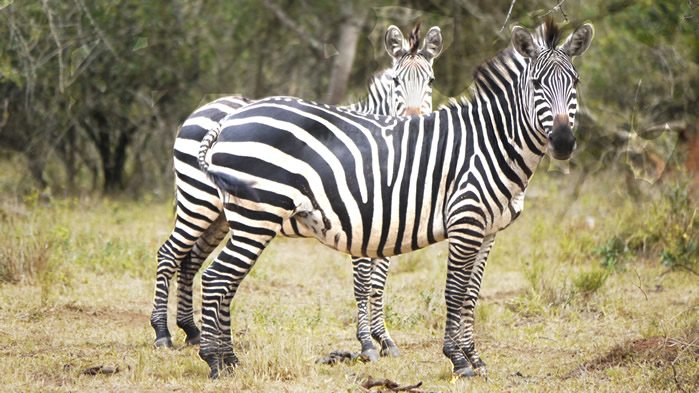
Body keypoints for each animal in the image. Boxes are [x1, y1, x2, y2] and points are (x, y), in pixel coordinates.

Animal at [151, 23, 446, 362]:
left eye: (431, 81)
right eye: (397, 81)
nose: (414, 119)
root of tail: (205, 107)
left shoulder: (390, 222)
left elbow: (378, 284)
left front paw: (384, 339)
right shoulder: (361, 217)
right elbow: (363, 283)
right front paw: (367, 344)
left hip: (222, 215)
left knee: (191, 259)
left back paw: (192, 331)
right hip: (197, 199)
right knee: (169, 253)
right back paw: (162, 333)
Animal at [197, 17, 596, 376]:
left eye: (575, 82)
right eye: (536, 84)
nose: (563, 142)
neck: (490, 143)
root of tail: (229, 118)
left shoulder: (488, 231)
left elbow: (470, 295)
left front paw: (477, 360)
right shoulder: (464, 222)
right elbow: (453, 291)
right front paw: (457, 360)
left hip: (238, 218)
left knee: (220, 277)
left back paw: (228, 361)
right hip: (253, 214)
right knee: (215, 277)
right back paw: (215, 361)